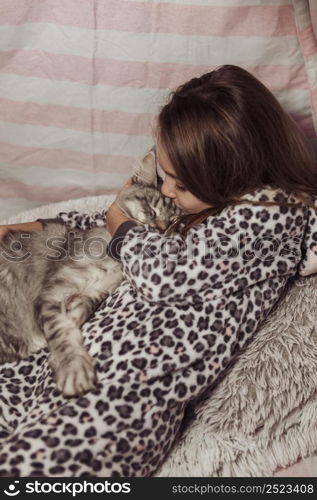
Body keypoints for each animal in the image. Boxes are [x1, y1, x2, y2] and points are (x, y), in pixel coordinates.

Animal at [0, 182, 180, 396]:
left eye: (173, 221)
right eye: (152, 211)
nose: (161, 228)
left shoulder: (101, 287)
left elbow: (86, 305)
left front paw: (73, 314)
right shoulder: (51, 293)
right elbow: (61, 333)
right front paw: (73, 369)